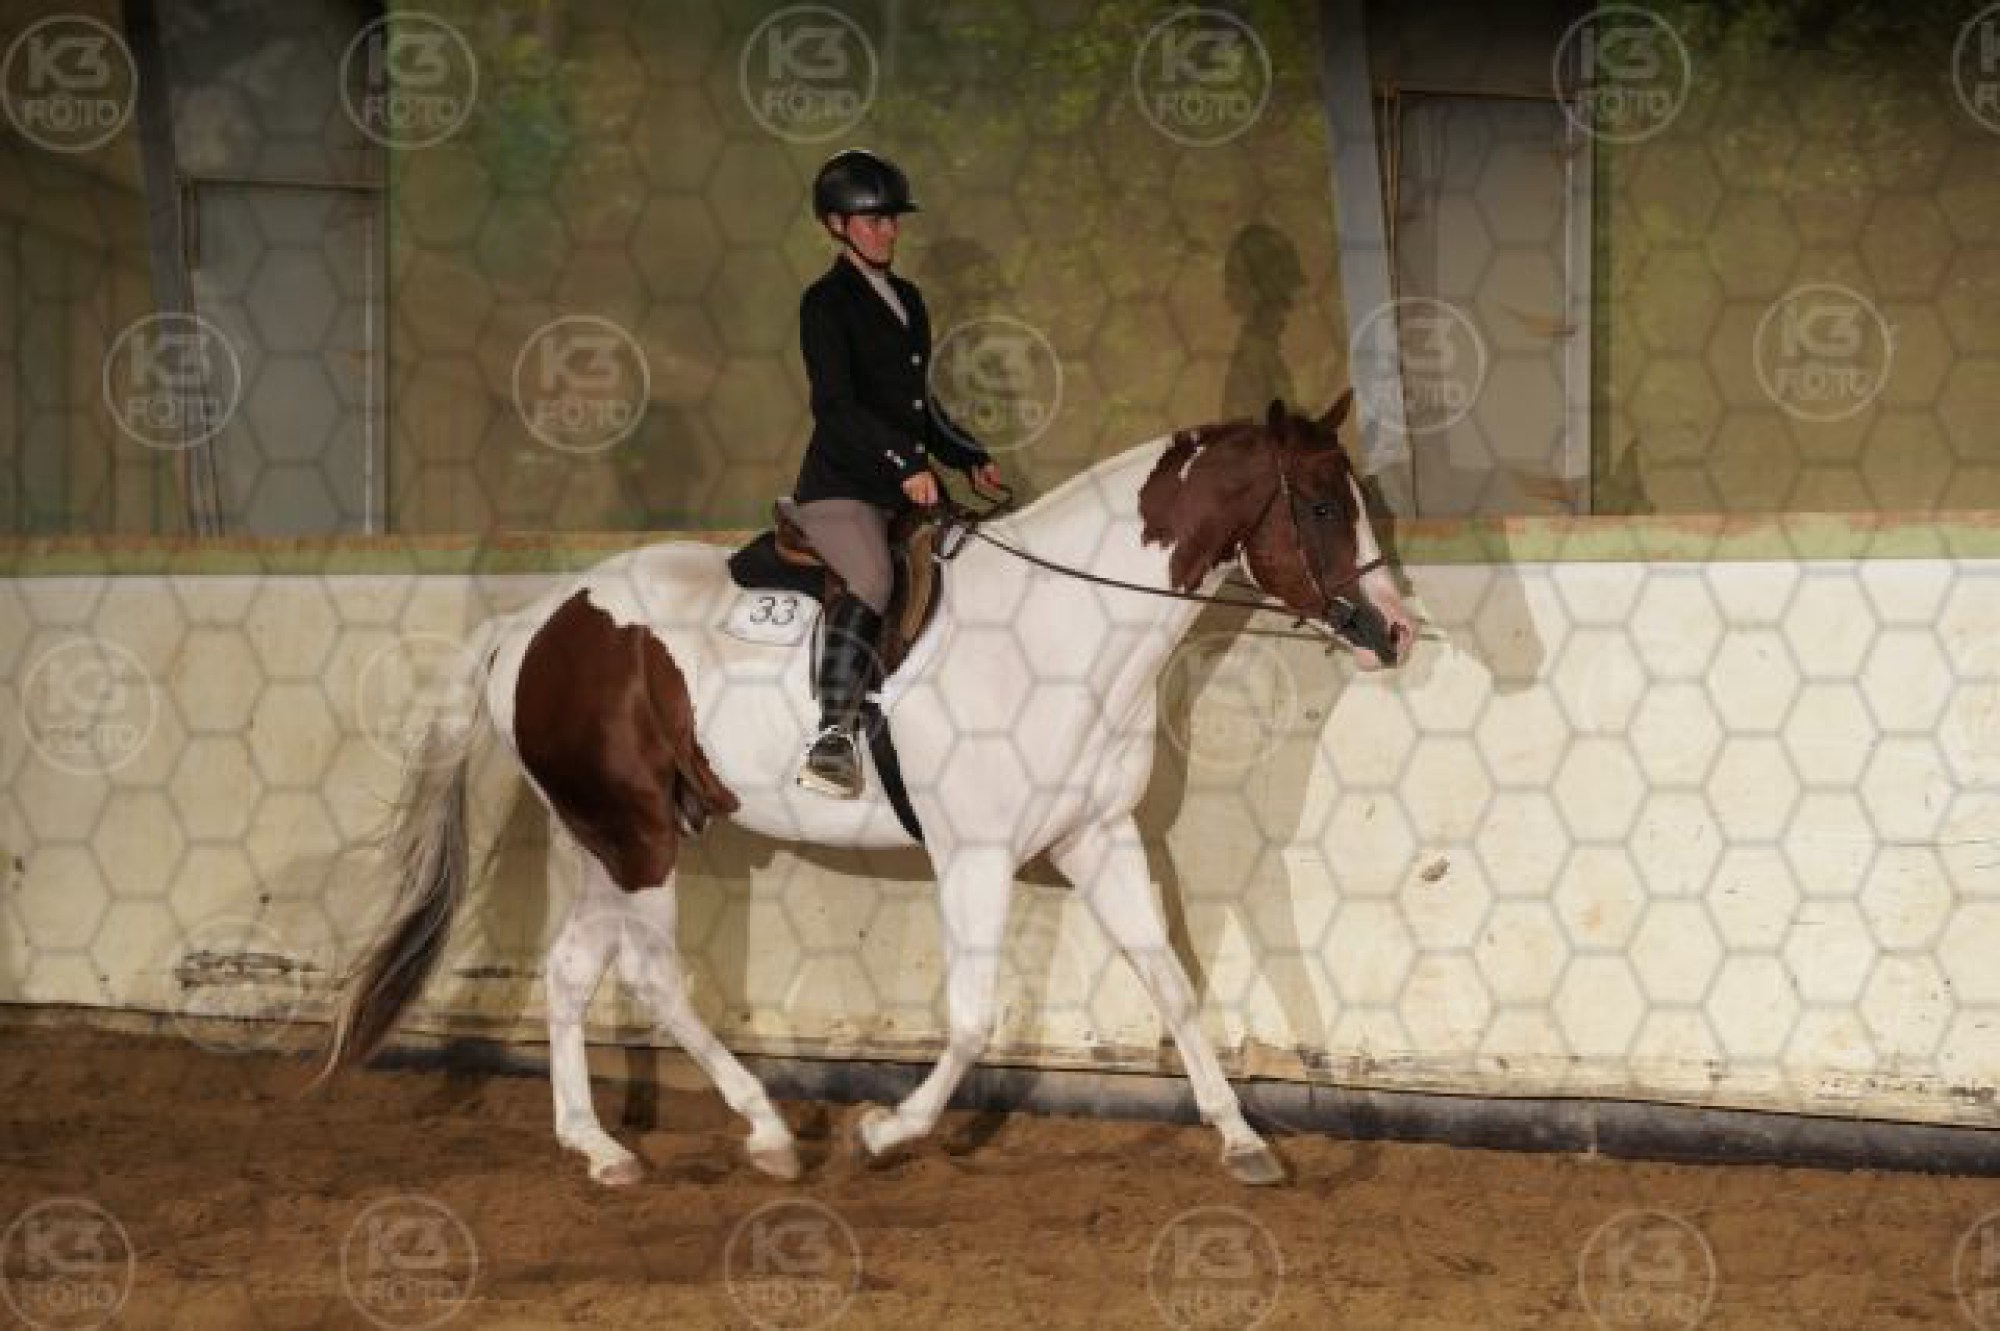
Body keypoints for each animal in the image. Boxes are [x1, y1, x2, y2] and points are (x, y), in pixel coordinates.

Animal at [317, 394, 1411, 1187]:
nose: (1394, 629)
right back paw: (766, 1131)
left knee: (572, 970)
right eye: (1322, 505)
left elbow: (1173, 984)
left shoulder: (1098, 836)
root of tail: (530, 622)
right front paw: (885, 1132)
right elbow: (971, 1017)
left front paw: (1240, 1139)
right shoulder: (973, 856)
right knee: (654, 978)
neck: (1062, 627)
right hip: (638, 837)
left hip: (610, 837)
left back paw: (600, 1147)